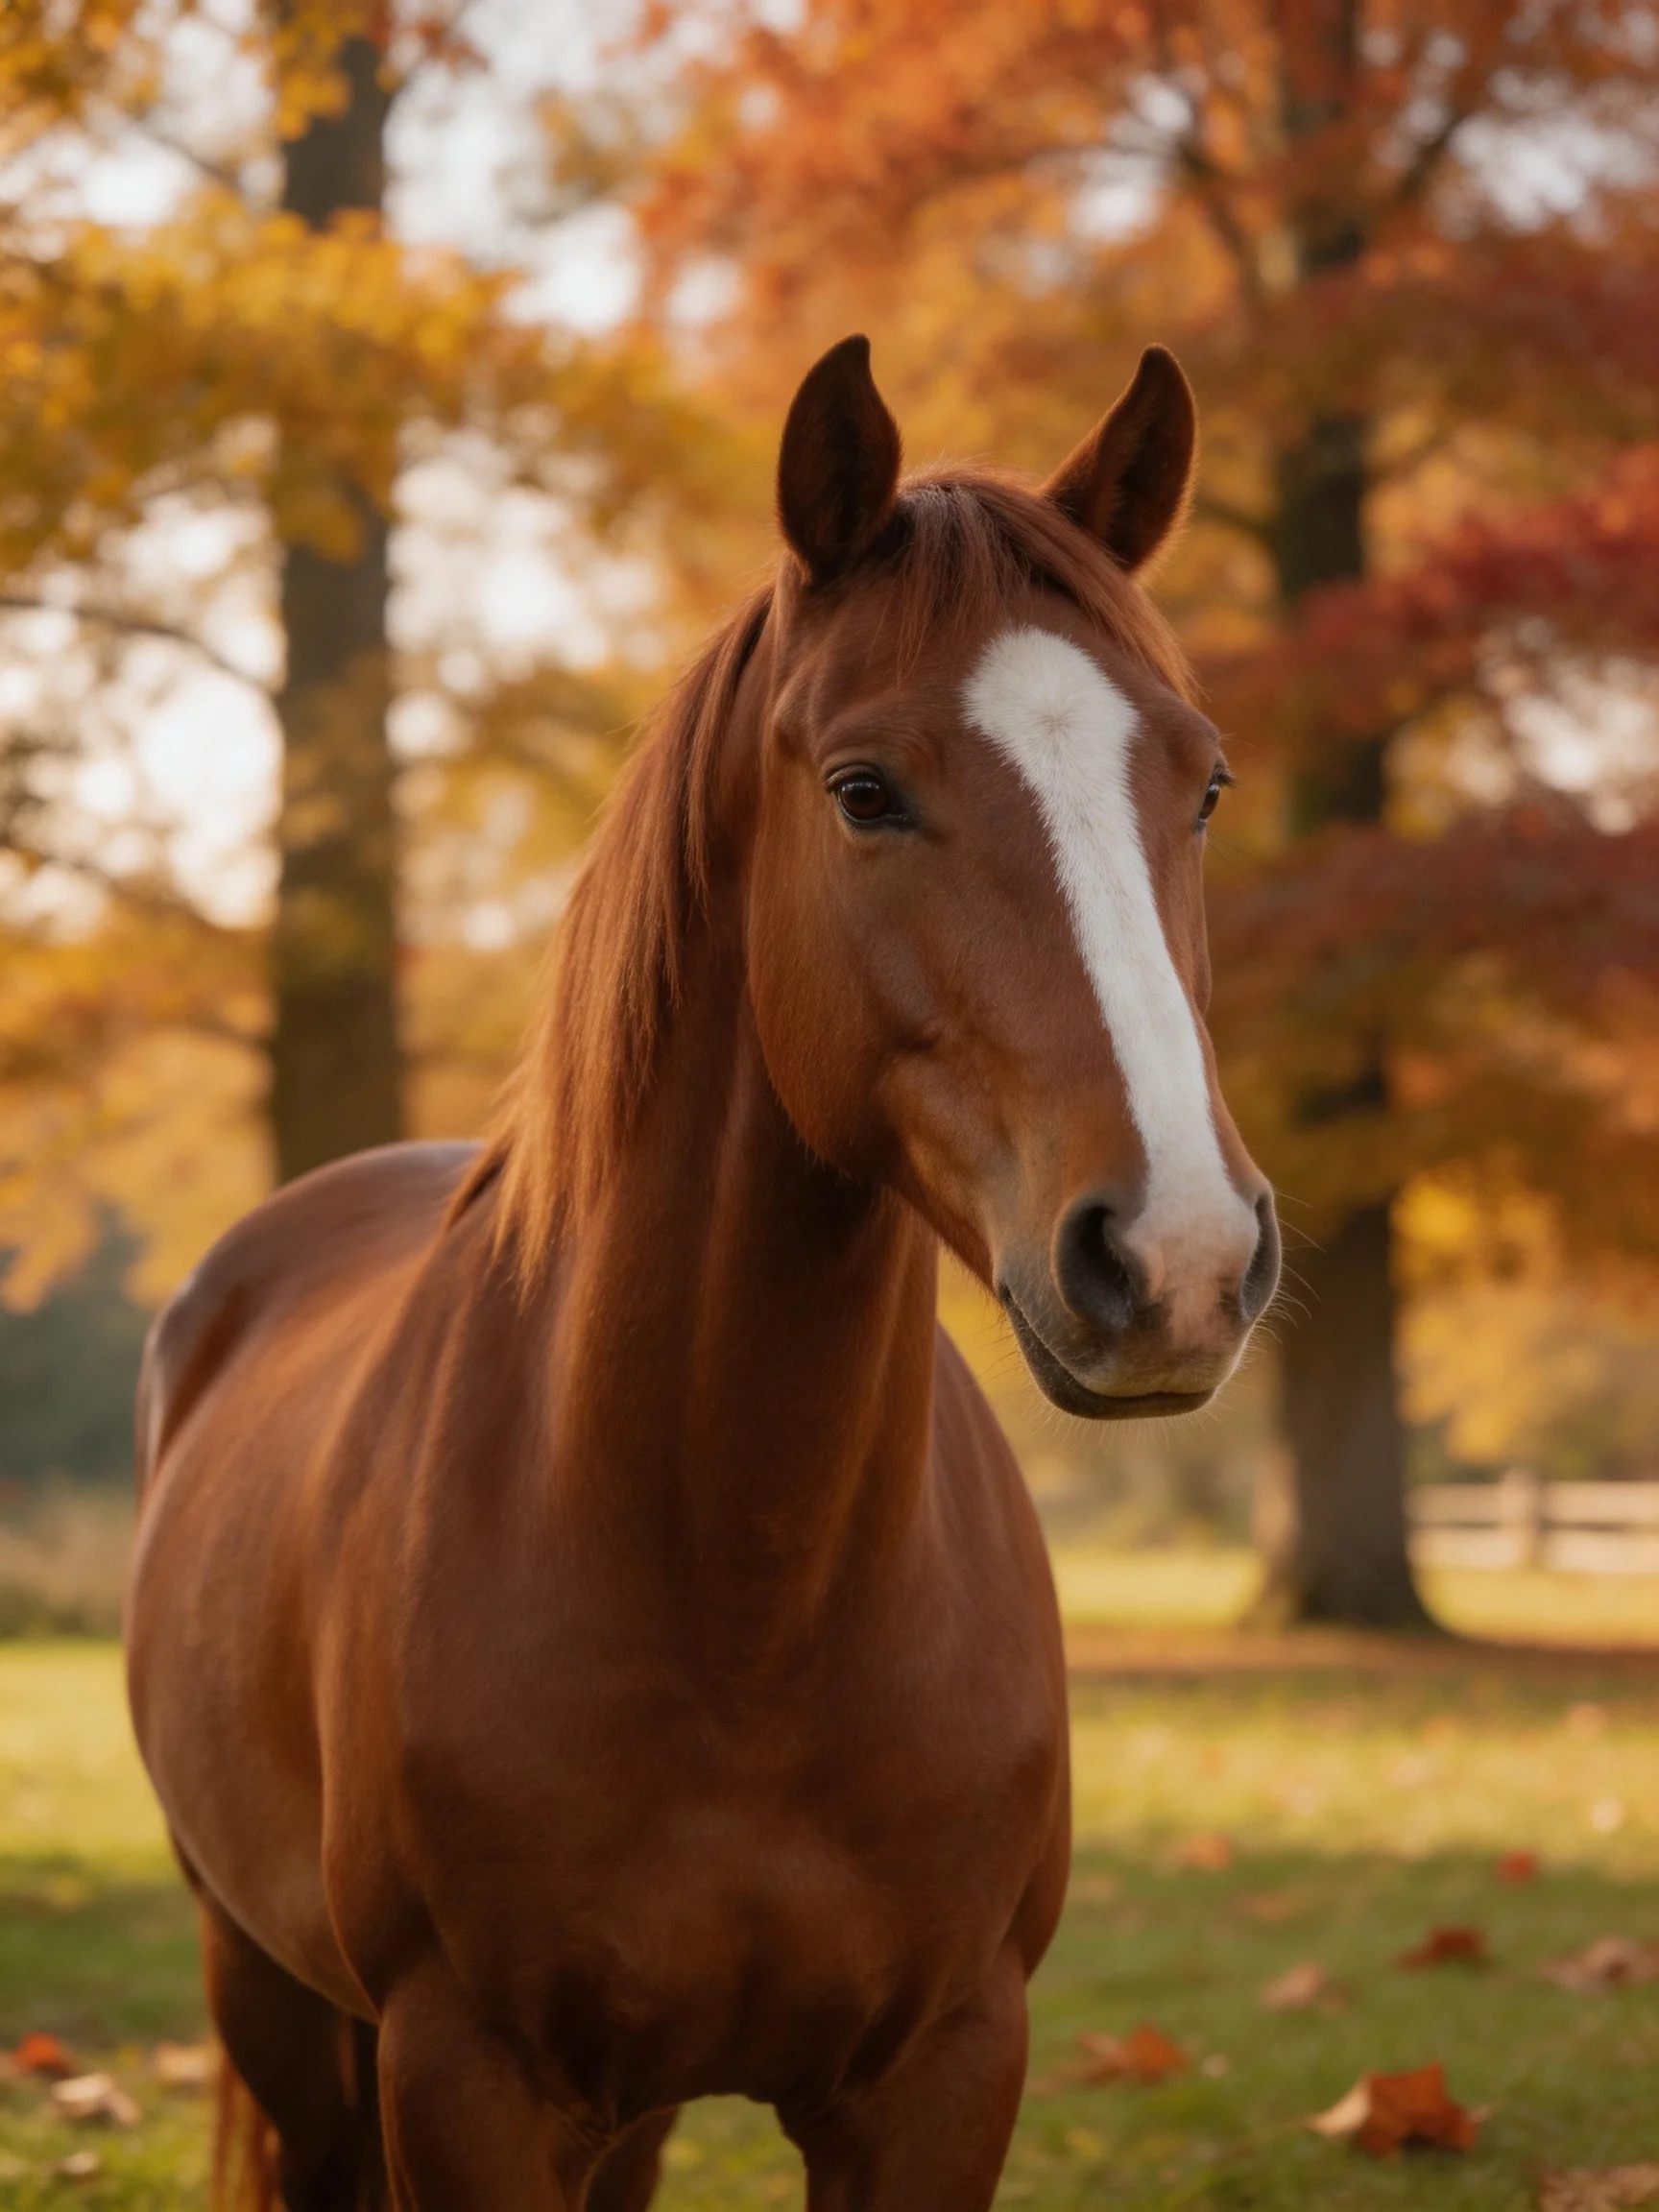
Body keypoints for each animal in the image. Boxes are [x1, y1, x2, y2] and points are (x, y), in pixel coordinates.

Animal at [126, 334, 1279, 2212]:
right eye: (864, 790)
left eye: (1201, 782)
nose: (1178, 1254)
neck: (748, 1597)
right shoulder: (469, 2081)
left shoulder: (941, 2077)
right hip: (276, 2001)